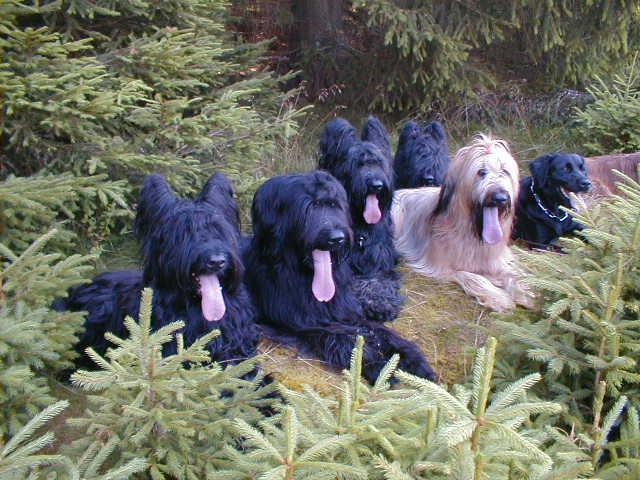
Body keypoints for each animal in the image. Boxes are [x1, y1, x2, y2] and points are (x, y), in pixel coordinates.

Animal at [242, 171, 438, 384]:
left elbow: (380, 331)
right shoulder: (302, 326)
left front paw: (412, 357)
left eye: (334, 205)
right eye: (309, 207)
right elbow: (342, 340)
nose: (337, 238)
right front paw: (377, 366)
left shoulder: (345, 312)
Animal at [318, 116, 402, 322]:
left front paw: (378, 303)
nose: (376, 185)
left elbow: (376, 280)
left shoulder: (380, 261)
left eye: (379, 163)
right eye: (357, 164)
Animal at [392, 134, 532, 312]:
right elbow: (473, 277)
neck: (474, 232)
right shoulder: (441, 267)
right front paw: (499, 297)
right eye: (481, 172)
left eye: (504, 171)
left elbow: (510, 272)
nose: (500, 198)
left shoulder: (496, 259)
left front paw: (524, 291)